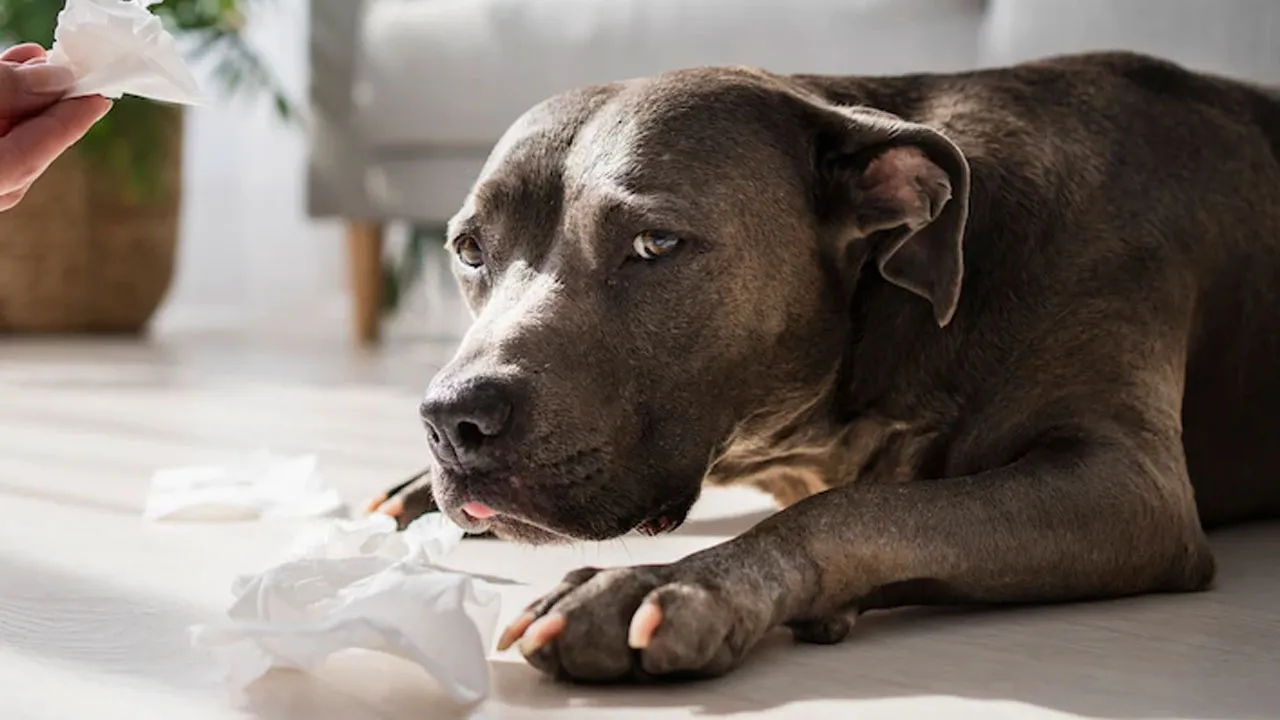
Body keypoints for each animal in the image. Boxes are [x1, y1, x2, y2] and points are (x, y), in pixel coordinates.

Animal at [368, 53, 1280, 681]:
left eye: (655, 243)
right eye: (469, 251)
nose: (451, 419)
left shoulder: (1125, 486)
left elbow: (857, 511)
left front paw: (671, 586)